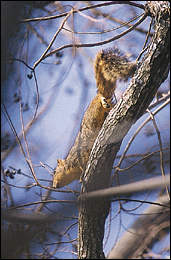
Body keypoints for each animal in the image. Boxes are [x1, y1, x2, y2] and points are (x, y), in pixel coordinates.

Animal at [52, 47, 136, 188]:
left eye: (55, 172)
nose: (54, 186)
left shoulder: (80, 157)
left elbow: (83, 165)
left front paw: (81, 177)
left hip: (95, 109)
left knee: (101, 99)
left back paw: (104, 102)